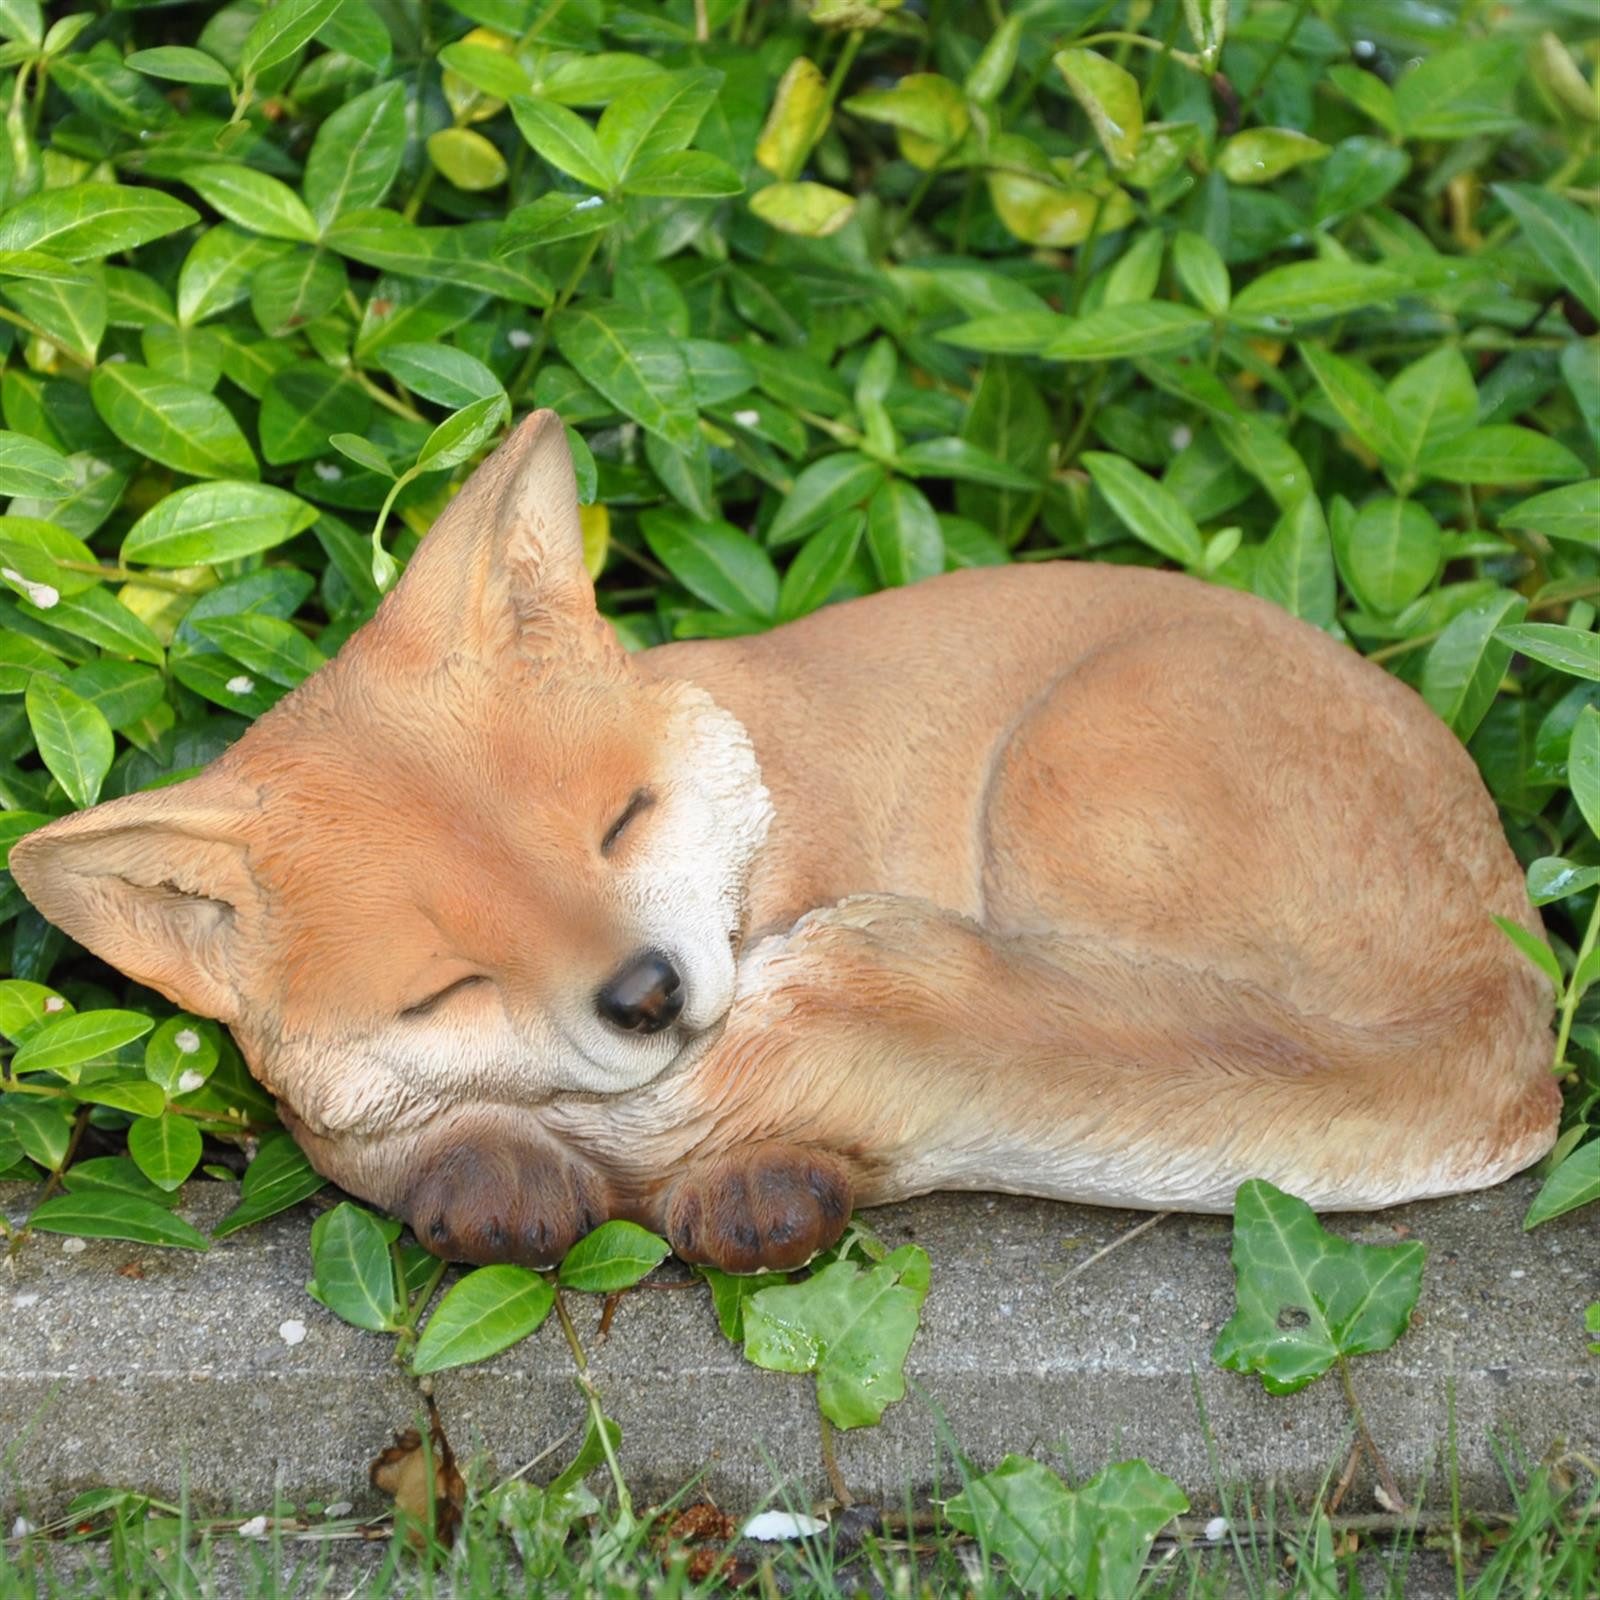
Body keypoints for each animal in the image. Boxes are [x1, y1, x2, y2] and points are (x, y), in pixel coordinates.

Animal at [10, 410, 1561, 1275]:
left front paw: (760, 1182)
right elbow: (413, 1148)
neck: (783, 813)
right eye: (448, 985)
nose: (649, 997)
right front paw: (497, 1174)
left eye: (619, 821)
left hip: (1068, 778)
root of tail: (1514, 1027)